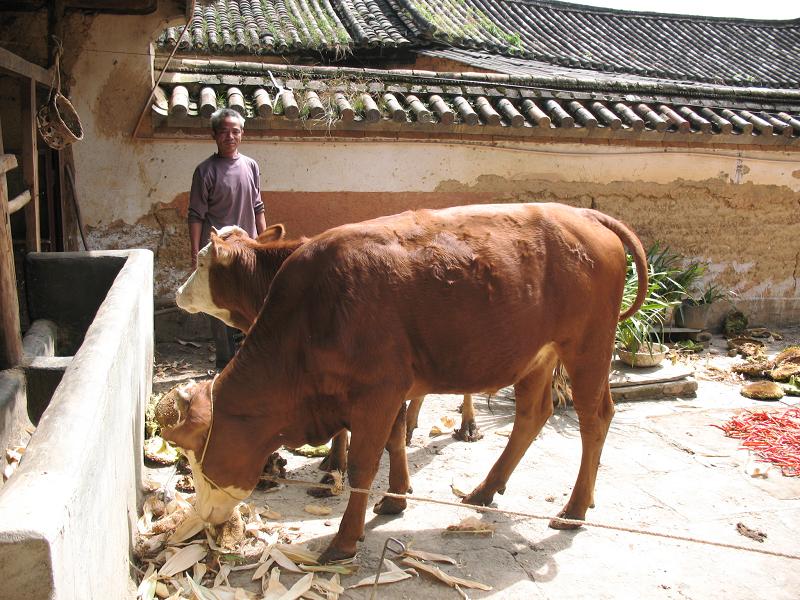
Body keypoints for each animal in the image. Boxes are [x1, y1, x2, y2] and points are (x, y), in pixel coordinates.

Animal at [162, 202, 648, 564]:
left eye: (199, 459)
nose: (202, 517)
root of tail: (582, 214)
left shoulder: (377, 390)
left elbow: (364, 464)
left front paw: (344, 539)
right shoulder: (388, 389)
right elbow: (394, 439)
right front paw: (396, 498)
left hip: (587, 348)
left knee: (595, 417)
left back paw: (574, 509)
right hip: (535, 356)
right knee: (532, 415)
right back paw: (485, 489)